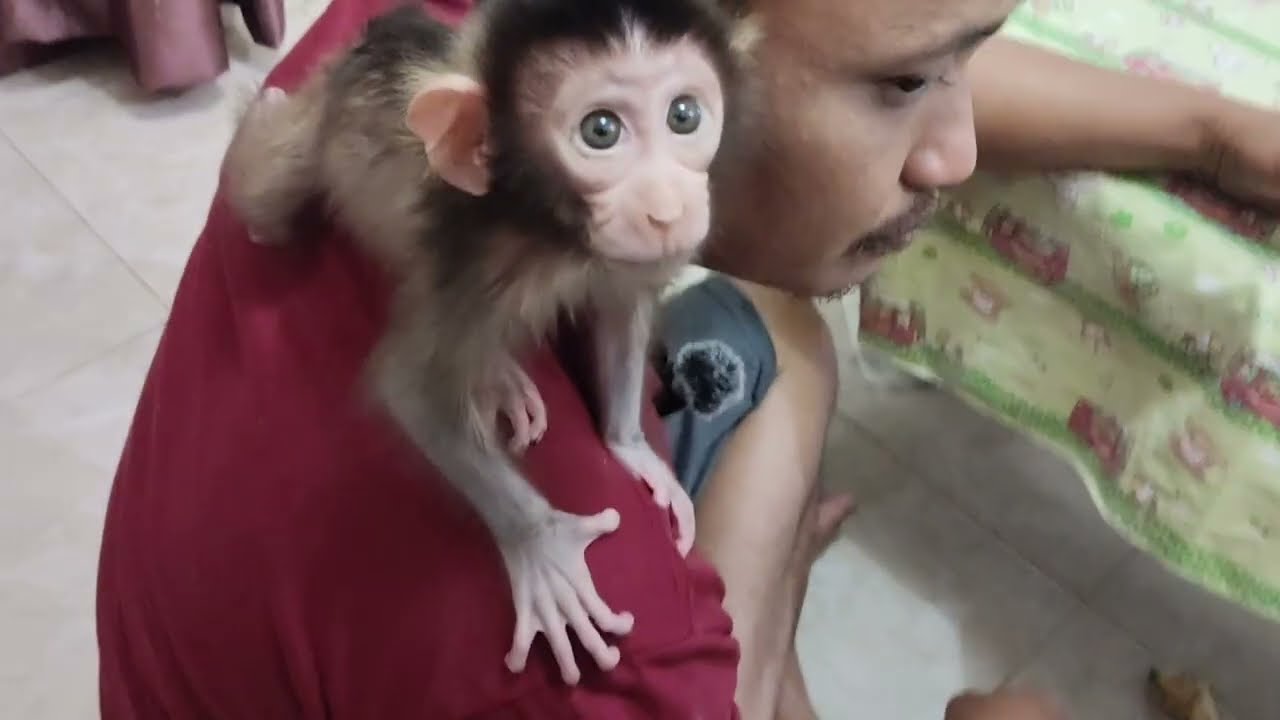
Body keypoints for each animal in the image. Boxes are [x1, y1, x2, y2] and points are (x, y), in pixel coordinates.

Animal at [220, 0, 750, 686]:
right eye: (601, 131)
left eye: (684, 115)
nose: (667, 209)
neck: (550, 229)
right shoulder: (479, 258)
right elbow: (412, 392)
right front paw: (542, 546)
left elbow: (620, 308)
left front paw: (632, 449)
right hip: (311, 132)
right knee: (268, 198)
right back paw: (264, 112)